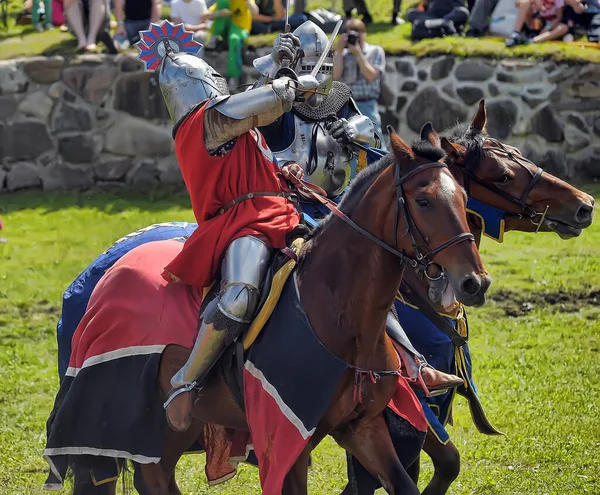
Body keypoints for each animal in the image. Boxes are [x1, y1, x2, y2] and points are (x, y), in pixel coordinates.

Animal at [49, 130, 490, 494]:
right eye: (424, 201)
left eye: (464, 200)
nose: (474, 282)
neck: (337, 313)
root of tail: (103, 275)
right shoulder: (289, 441)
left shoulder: (363, 428)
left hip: (163, 431)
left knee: (154, 478)